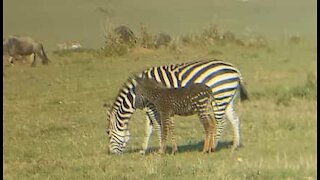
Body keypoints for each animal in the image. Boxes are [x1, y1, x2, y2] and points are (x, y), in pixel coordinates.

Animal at [105, 59, 248, 153]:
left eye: (108, 134)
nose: (112, 154)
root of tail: (236, 70)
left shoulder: (153, 106)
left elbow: (158, 126)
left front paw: (161, 148)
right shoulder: (151, 108)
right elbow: (148, 129)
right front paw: (143, 150)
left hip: (220, 95)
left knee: (220, 122)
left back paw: (214, 146)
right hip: (227, 98)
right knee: (234, 119)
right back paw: (235, 145)